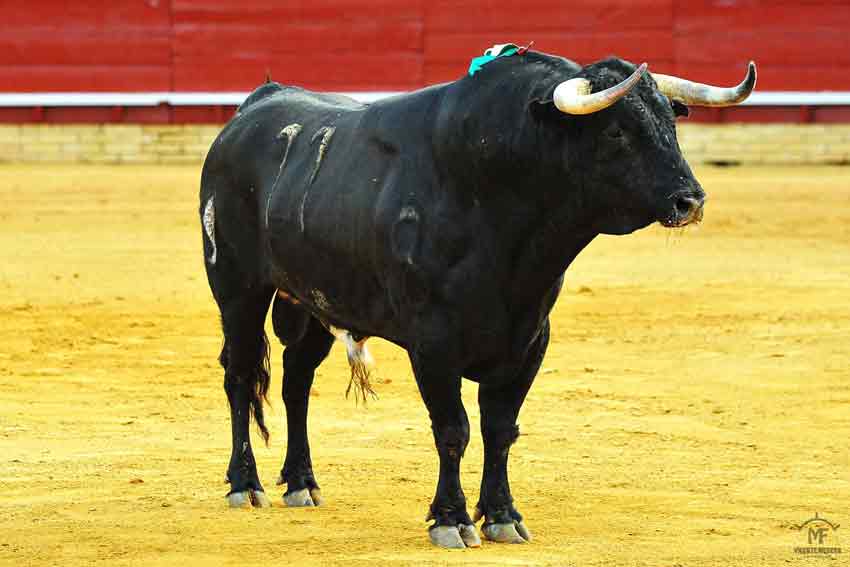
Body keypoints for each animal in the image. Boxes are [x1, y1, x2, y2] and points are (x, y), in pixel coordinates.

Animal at [199, 51, 736, 548]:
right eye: (616, 133)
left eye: (669, 121)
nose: (691, 200)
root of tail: (255, 105)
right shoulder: (433, 344)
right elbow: (453, 429)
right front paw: (451, 519)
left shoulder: (529, 339)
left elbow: (500, 429)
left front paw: (502, 516)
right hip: (237, 289)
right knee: (240, 376)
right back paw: (245, 484)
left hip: (316, 301)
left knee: (297, 380)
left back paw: (302, 483)